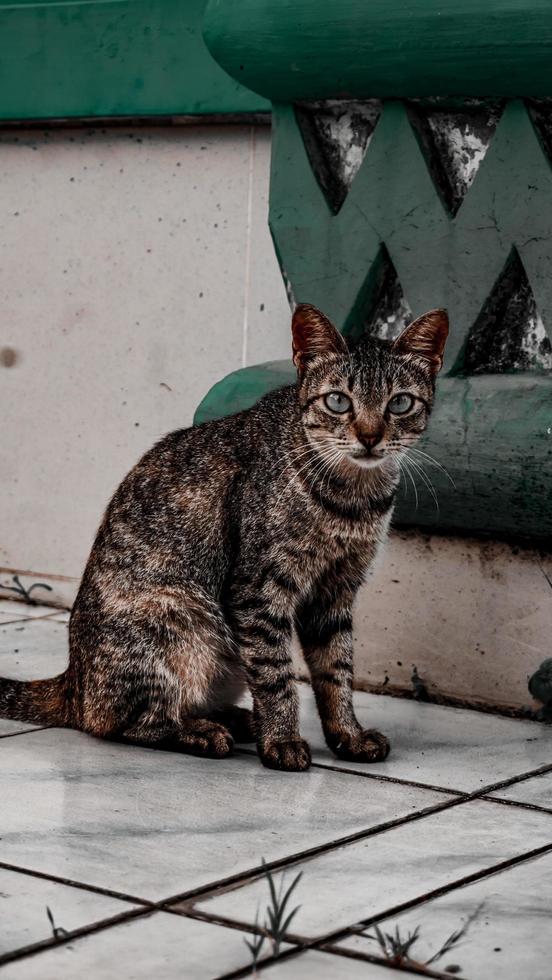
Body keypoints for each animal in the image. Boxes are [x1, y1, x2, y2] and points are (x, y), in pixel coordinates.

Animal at [0, 302, 448, 768]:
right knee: (120, 722)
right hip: (182, 622)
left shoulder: (335, 592)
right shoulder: (257, 590)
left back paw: (236, 719)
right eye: (338, 401)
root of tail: (73, 680)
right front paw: (282, 740)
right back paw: (203, 732)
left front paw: (347, 734)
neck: (352, 501)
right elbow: (275, 674)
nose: (370, 436)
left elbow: (335, 671)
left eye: (400, 403)